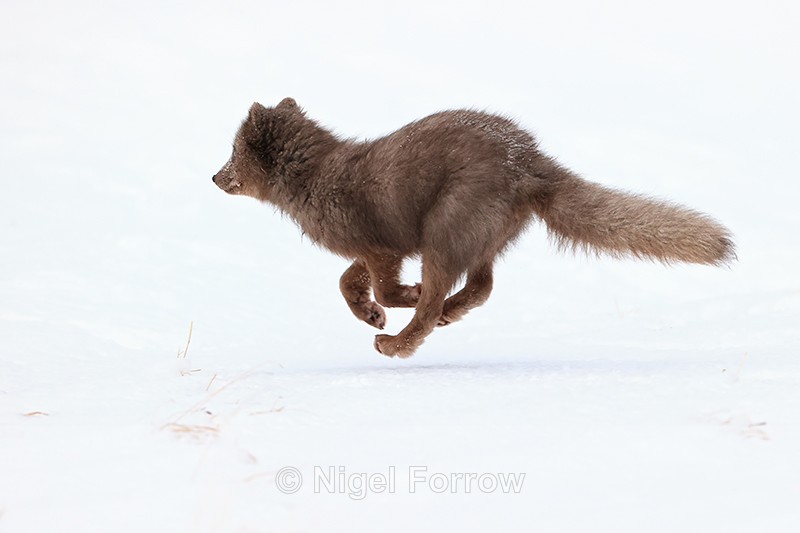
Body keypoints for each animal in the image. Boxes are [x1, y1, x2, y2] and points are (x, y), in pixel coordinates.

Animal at [213, 97, 735, 358]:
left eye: (232, 153)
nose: (214, 177)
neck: (318, 179)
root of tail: (530, 161)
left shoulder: (383, 244)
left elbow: (384, 285)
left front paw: (393, 306)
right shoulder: (372, 248)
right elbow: (348, 281)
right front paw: (371, 312)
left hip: (445, 226)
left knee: (443, 295)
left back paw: (397, 341)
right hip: (484, 233)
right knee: (483, 285)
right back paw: (445, 312)